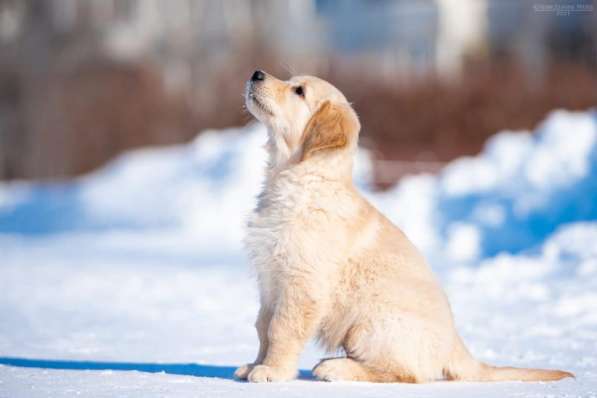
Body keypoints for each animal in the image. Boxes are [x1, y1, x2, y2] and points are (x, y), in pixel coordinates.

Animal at [233, 70, 572, 384]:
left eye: (299, 91)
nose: (257, 73)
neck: (300, 179)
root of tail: (457, 346)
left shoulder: (302, 284)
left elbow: (281, 329)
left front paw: (273, 371)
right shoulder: (270, 280)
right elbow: (262, 326)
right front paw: (255, 364)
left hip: (370, 325)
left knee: (405, 374)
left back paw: (336, 367)